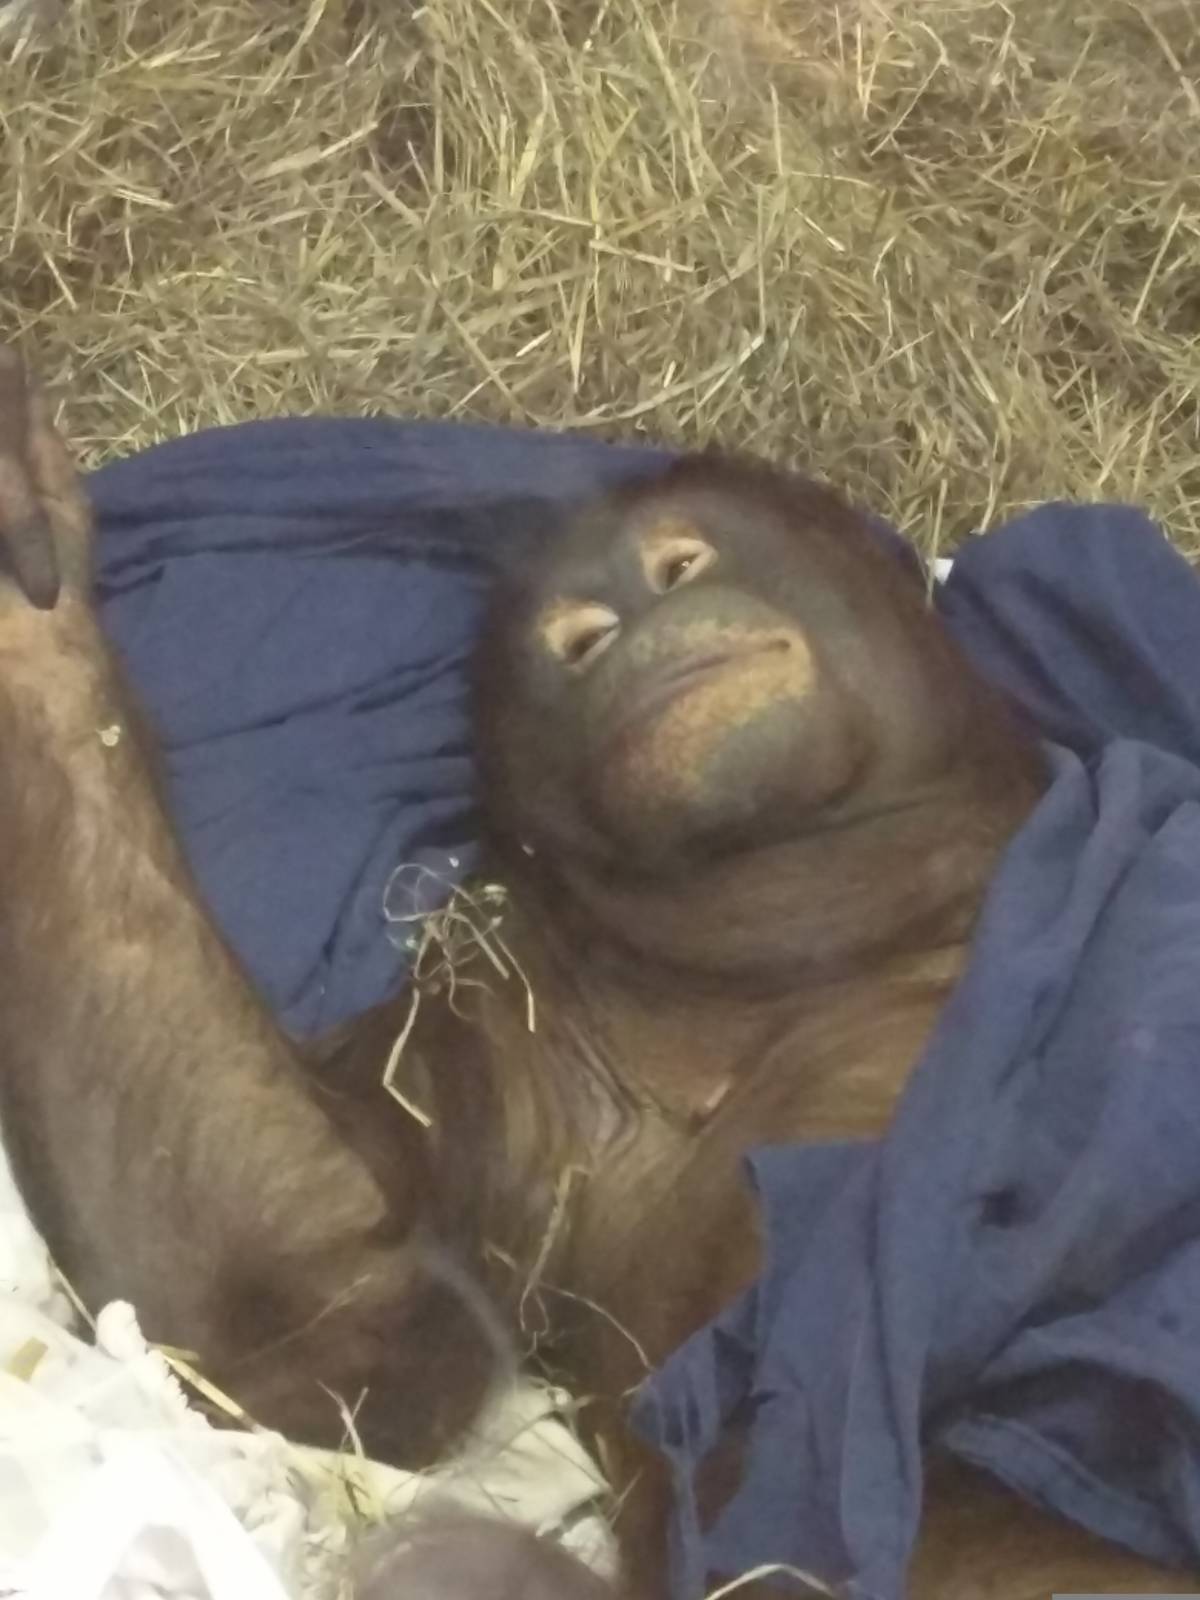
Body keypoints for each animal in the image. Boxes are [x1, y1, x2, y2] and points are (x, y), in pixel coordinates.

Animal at [0, 340, 1194, 1600]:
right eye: (556, 633)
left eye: (687, 545)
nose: (619, 603)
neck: (843, 926)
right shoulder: (509, 1041)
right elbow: (318, 1312)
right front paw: (28, 610)